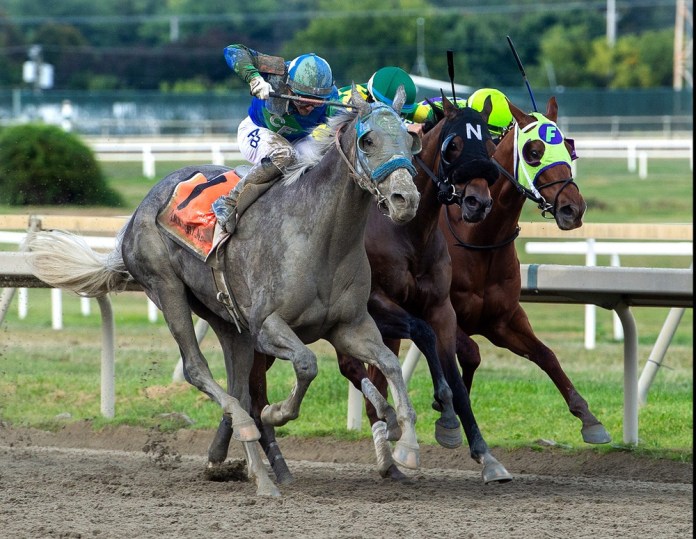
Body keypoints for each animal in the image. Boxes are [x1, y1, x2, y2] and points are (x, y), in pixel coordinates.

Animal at [26, 88, 424, 497]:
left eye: (411, 140)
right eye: (368, 140)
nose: (405, 199)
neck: (323, 237)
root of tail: (137, 212)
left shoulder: (349, 326)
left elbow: (390, 364)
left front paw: (405, 441)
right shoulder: (267, 326)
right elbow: (306, 364)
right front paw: (277, 412)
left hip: (226, 320)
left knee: (239, 387)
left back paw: (259, 473)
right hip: (167, 289)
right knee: (197, 369)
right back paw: (250, 440)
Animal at [441, 96, 611, 445]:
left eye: (570, 148)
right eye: (534, 151)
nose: (573, 209)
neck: (477, 238)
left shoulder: (502, 320)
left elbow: (546, 355)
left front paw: (589, 419)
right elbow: (469, 354)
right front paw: (451, 414)